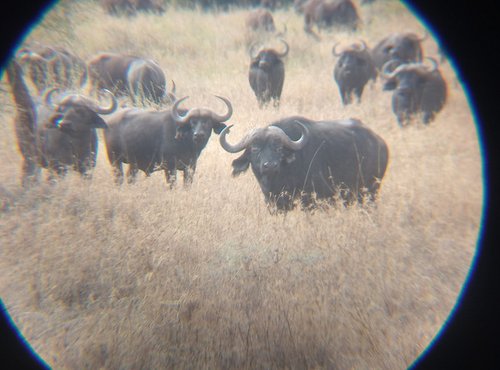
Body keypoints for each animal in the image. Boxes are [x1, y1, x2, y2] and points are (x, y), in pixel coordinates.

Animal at [104, 95, 233, 186]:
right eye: (193, 122)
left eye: (208, 122)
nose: (199, 135)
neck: (187, 144)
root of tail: (109, 121)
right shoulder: (170, 166)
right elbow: (172, 185)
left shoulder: (190, 167)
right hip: (114, 160)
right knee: (119, 178)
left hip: (133, 163)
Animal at [218, 117, 386, 212]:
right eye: (254, 148)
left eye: (278, 148)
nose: (270, 165)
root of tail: (380, 142)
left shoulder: (314, 200)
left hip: (371, 191)